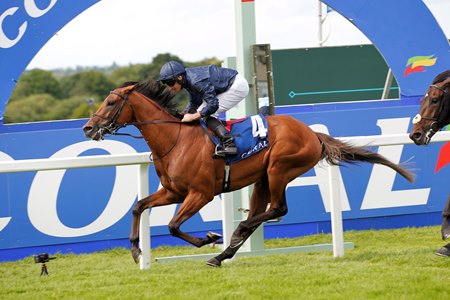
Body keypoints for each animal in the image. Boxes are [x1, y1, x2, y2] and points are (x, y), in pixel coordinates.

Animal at [82, 78, 414, 266]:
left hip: (280, 168)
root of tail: (313, 134)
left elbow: (174, 226)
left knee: (277, 208)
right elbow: (139, 206)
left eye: (110, 101)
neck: (175, 139)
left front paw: (209, 237)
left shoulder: (201, 193)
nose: (88, 127)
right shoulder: (173, 191)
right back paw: (223, 253)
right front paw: (137, 251)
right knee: (261, 212)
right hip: (263, 179)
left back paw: (233, 236)